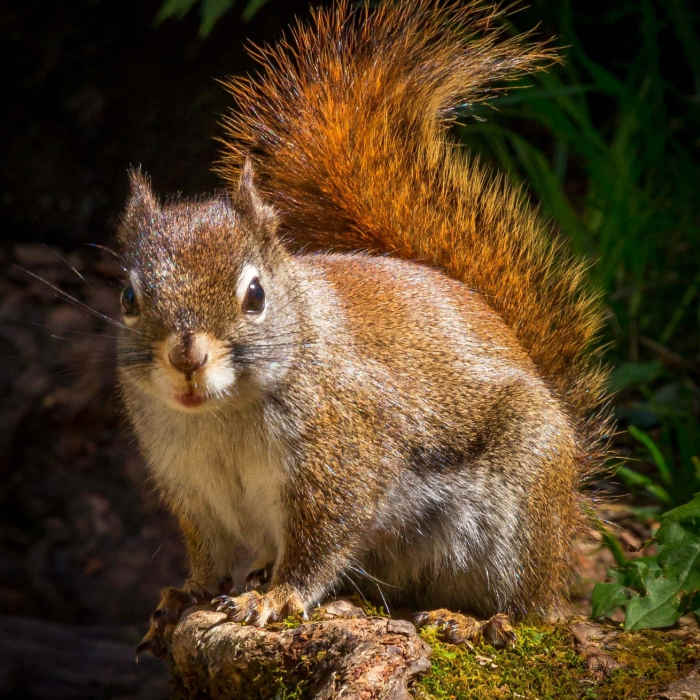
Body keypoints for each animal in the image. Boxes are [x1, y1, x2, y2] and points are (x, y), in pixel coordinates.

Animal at [120, 0, 612, 653]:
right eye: (128, 296)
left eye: (255, 295)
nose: (186, 358)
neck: (219, 419)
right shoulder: (191, 490)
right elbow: (207, 554)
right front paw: (189, 593)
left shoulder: (341, 460)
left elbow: (320, 545)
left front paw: (276, 598)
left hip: (519, 510)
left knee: (530, 609)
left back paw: (473, 621)